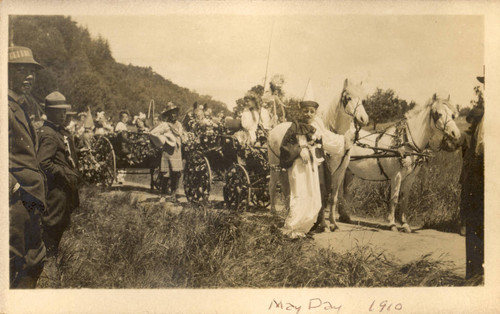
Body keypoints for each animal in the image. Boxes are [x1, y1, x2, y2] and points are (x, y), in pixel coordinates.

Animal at [270, 78, 372, 232]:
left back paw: (289, 214)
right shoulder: (323, 170)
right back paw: (274, 214)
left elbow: (333, 197)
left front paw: (333, 223)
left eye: (363, 99)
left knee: (286, 188)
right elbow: (323, 196)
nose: (363, 119)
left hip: (283, 168)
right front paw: (322, 224)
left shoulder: (340, 171)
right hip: (274, 166)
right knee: (272, 186)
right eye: (348, 98)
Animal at [342, 94, 458, 232]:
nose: (456, 134)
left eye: (453, 115)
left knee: (343, 191)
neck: (406, 143)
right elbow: (394, 198)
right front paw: (392, 224)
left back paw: (344, 216)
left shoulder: (410, 178)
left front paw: (404, 224)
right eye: (438, 114)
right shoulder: (396, 176)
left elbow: (404, 200)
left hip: (348, 172)